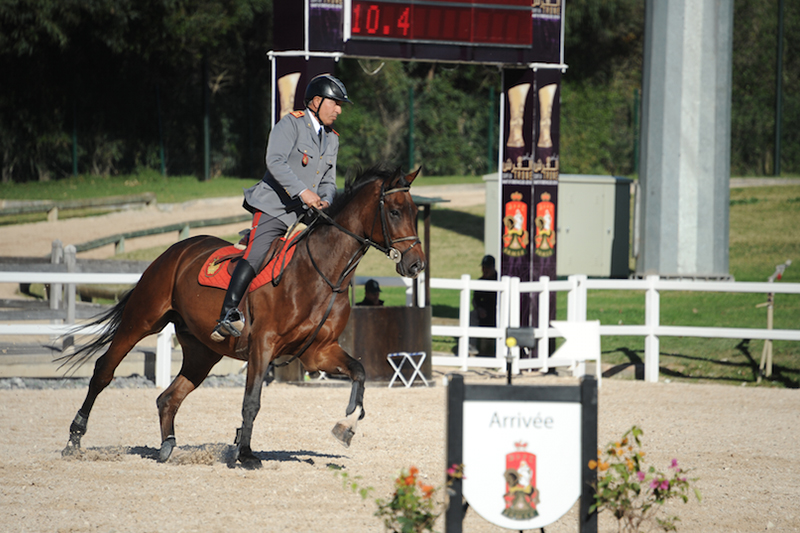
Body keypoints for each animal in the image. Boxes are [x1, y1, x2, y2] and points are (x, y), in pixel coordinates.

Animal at [60, 165, 428, 466]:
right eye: (395, 211)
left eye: (414, 212)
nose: (416, 266)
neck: (321, 272)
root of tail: (175, 250)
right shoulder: (263, 345)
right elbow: (252, 401)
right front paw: (247, 454)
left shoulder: (318, 352)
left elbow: (360, 372)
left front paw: (346, 425)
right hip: (142, 320)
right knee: (103, 372)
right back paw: (74, 439)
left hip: (202, 351)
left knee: (168, 397)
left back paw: (167, 447)